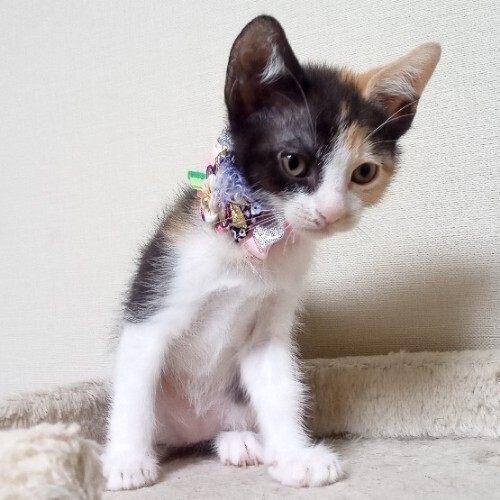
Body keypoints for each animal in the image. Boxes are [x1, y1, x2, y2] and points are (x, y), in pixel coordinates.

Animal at [102, 15, 440, 490]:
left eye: (364, 173)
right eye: (293, 162)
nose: (332, 212)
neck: (251, 243)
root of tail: (191, 429)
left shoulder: (268, 330)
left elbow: (279, 390)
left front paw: (296, 456)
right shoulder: (153, 307)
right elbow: (135, 388)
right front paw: (127, 461)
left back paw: (239, 440)